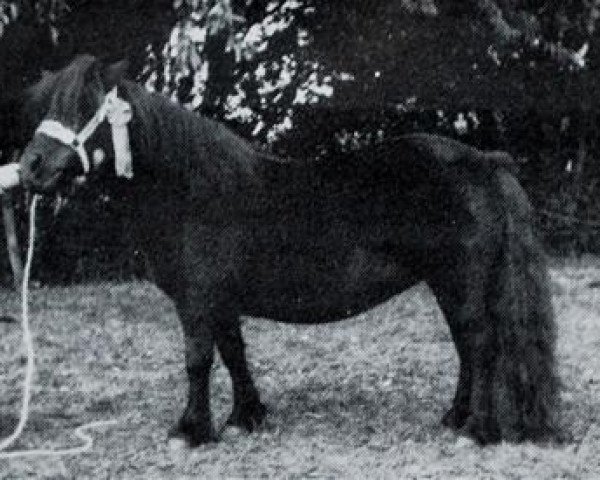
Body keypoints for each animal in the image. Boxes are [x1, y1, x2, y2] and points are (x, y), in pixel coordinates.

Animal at [19, 55, 556, 446]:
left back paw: (477, 433)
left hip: (462, 280)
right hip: (447, 283)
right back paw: (453, 418)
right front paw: (244, 418)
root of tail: (483, 160)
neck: (190, 189)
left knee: (480, 345)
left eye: (83, 107)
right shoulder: (221, 302)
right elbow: (233, 353)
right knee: (466, 346)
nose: (30, 168)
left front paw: (190, 431)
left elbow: (198, 360)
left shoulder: (197, 300)